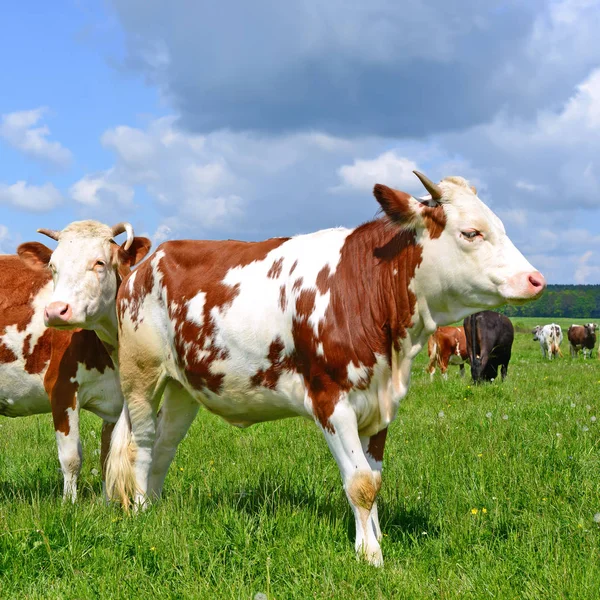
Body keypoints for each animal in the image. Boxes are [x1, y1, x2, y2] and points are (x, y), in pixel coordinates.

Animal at [5, 223, 150, 500]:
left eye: (99, 262)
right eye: (53, 265)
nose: (55, 311)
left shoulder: (118, 399)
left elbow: (107, 456)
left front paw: (107, 503)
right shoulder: (61, 388)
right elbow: (71, 458)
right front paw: (69, 503)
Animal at [36, 171, 544, 564]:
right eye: (472, 233)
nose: (535, 279)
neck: (365, 291)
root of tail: (148, 260)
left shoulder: (382, 402)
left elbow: (375, 478)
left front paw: (374, 538)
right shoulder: (329, 398)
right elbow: (361, 483)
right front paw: (370, 557)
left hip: (185, 385)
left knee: (164, 445)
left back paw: (158, 510)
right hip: (142, 375)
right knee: (140, 442)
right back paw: (141, 511)